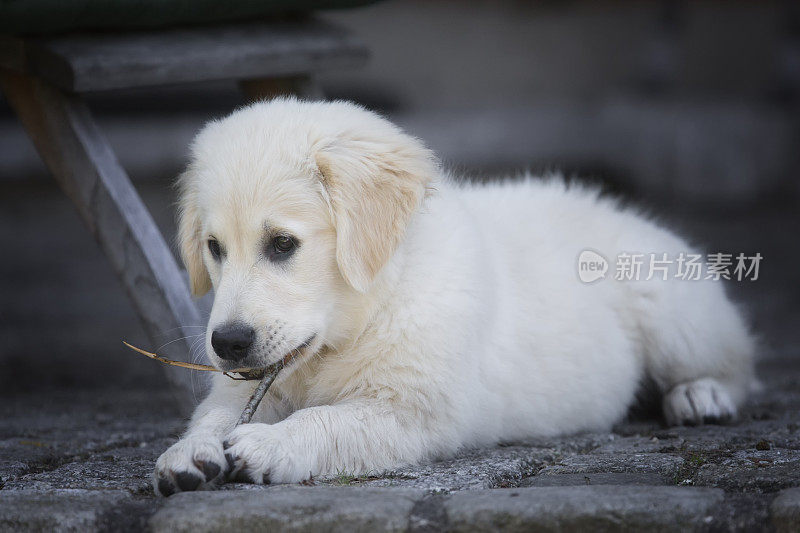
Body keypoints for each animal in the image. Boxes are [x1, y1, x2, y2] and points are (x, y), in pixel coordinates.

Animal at [153, 96, 752, 494]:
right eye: (214, 248)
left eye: (282, 244)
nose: (227, 344)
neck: (369, 310)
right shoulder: (251, 383)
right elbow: (215, 414)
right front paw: (189, 452)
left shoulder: (413, 412)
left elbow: (328, 422)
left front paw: (268, 445)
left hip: (672, 310)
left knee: (736, 363)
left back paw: (701, 396)